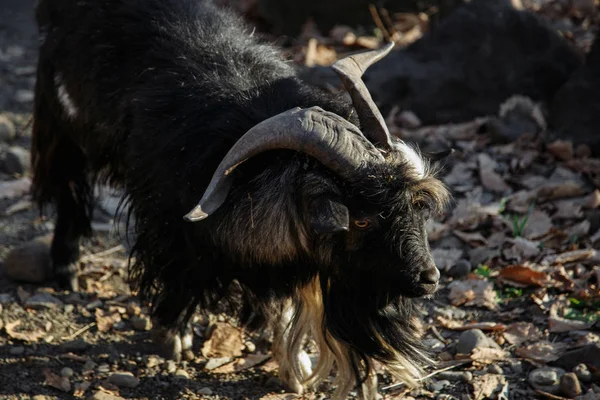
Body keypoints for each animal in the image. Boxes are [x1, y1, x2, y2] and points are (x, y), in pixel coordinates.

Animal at [30, 0, 448, 396]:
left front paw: (296, 371)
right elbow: (177, 276)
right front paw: (173, 336)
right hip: (61, 119)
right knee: (68, 186)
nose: (429, 278)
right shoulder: (169, 223)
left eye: (418, 209)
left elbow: (283, 305)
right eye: (363, 219)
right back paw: (66, 269)